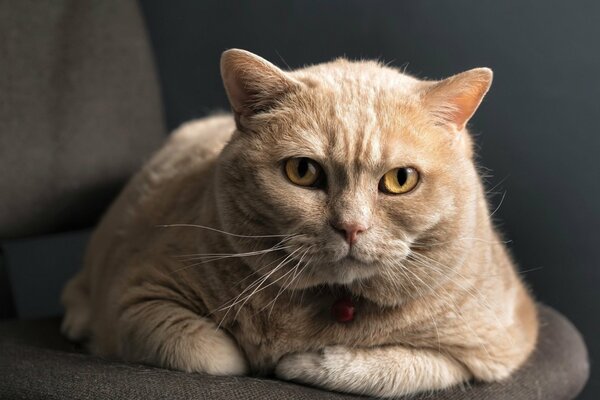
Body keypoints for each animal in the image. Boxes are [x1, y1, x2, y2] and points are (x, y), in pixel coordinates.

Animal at [62, 49, 540, 396]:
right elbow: (213, 353)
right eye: (303, 172)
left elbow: (395, 369)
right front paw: (259, 357)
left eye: (400, 180)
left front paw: (300, 362)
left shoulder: (494, 345)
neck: (334, 302)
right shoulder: (136, 297)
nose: (351, 227)